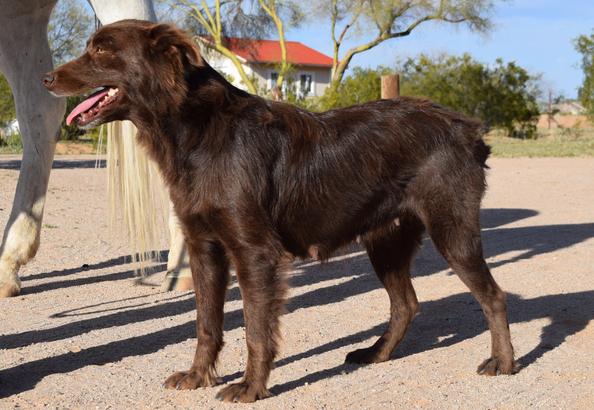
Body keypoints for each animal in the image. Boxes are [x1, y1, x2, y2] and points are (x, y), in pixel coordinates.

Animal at [42, 20, 512, 402]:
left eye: (102, 50)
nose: (46, 78)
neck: (198, 131)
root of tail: (466, 128)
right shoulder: (203, 247)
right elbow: (206, 323)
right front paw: (198, 377)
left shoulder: (256, 253)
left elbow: (255, 328)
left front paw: (251, 386)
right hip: (386, 240)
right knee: (406, 304)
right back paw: (376, 354)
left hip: (452, 231)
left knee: (492, 296)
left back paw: (503, 363)